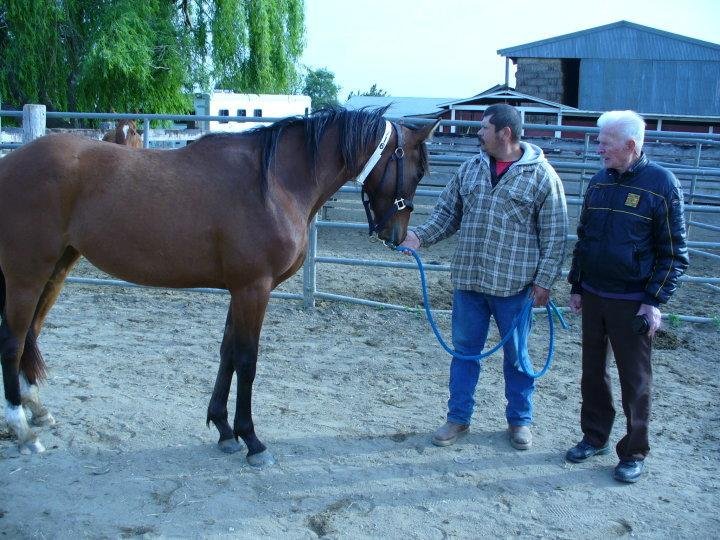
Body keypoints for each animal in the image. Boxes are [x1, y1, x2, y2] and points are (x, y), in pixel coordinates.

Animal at [0, 107, 439, 465]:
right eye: (419, 170)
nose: (398, 236)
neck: (275, 182)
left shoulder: (239, 289)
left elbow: (227, 352)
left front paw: (224, 430)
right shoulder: (253, 288)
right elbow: (247, 360)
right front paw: (252, 440)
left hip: (57, 268)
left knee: (31, 334)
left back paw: (37, 409)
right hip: (26, 274)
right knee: (13, 341)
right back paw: (22, 430)